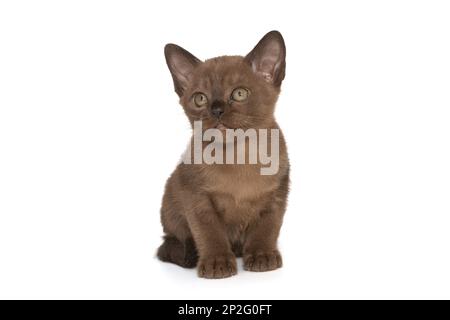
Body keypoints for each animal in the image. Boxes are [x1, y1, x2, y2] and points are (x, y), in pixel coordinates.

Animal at [156, 31, 290, 278]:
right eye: (200, 98)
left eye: (239, 93)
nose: (216, 109)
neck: (238, 155)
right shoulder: (197, 198)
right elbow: (210, 233)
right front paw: (217, 262)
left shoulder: (276, 195)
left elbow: (266, 229)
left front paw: (262, 256)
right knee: (169, 243)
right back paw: (189, 255)